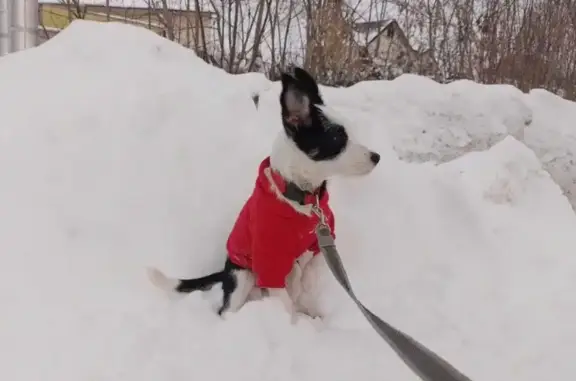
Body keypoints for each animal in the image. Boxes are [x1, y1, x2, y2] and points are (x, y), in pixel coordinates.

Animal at [146, 67, 380, 318]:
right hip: (242, 277)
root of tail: (225, 269)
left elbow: (309, 276)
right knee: (226, 310)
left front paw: (309, 307)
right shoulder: (269, 260)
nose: (377, 157)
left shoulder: (319, 243)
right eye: (338, 138)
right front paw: (290, 322)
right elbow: (284, 301)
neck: (303, 198)